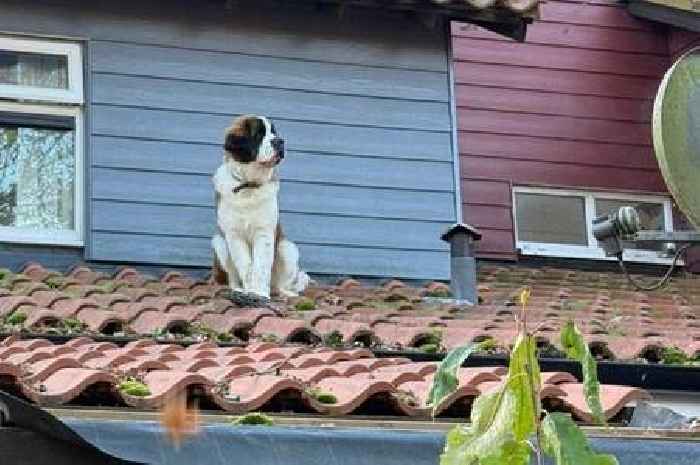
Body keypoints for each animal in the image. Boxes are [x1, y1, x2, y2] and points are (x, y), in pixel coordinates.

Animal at [212, 114, 310, 300]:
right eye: (258, 134)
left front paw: (260, 293)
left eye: (274, 132)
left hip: (287, 248)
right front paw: (250, 291)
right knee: (232, 277)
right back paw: (237, 289)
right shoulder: (234, 235)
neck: (248, 185)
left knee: (279, 284)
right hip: (219, 243)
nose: (280, 141)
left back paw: (285, 293)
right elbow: (246, 265)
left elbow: (261, 266)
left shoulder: (264, 233)